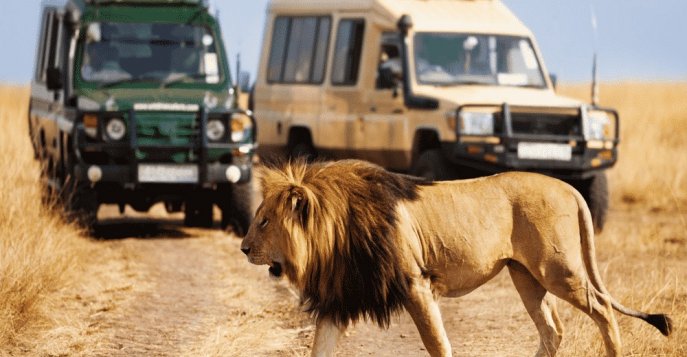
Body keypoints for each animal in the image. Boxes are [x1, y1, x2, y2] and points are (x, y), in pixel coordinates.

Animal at [242, 159, 672, 356]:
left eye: (263, 221)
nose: (244, 248)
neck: (334, 235)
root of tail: (569, 187)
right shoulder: (339, 298)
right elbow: (320, 347)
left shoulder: (416, 284)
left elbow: (437, 343)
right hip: (525, 276)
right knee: (553, 329)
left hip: (557, 269)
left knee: (603, 308)